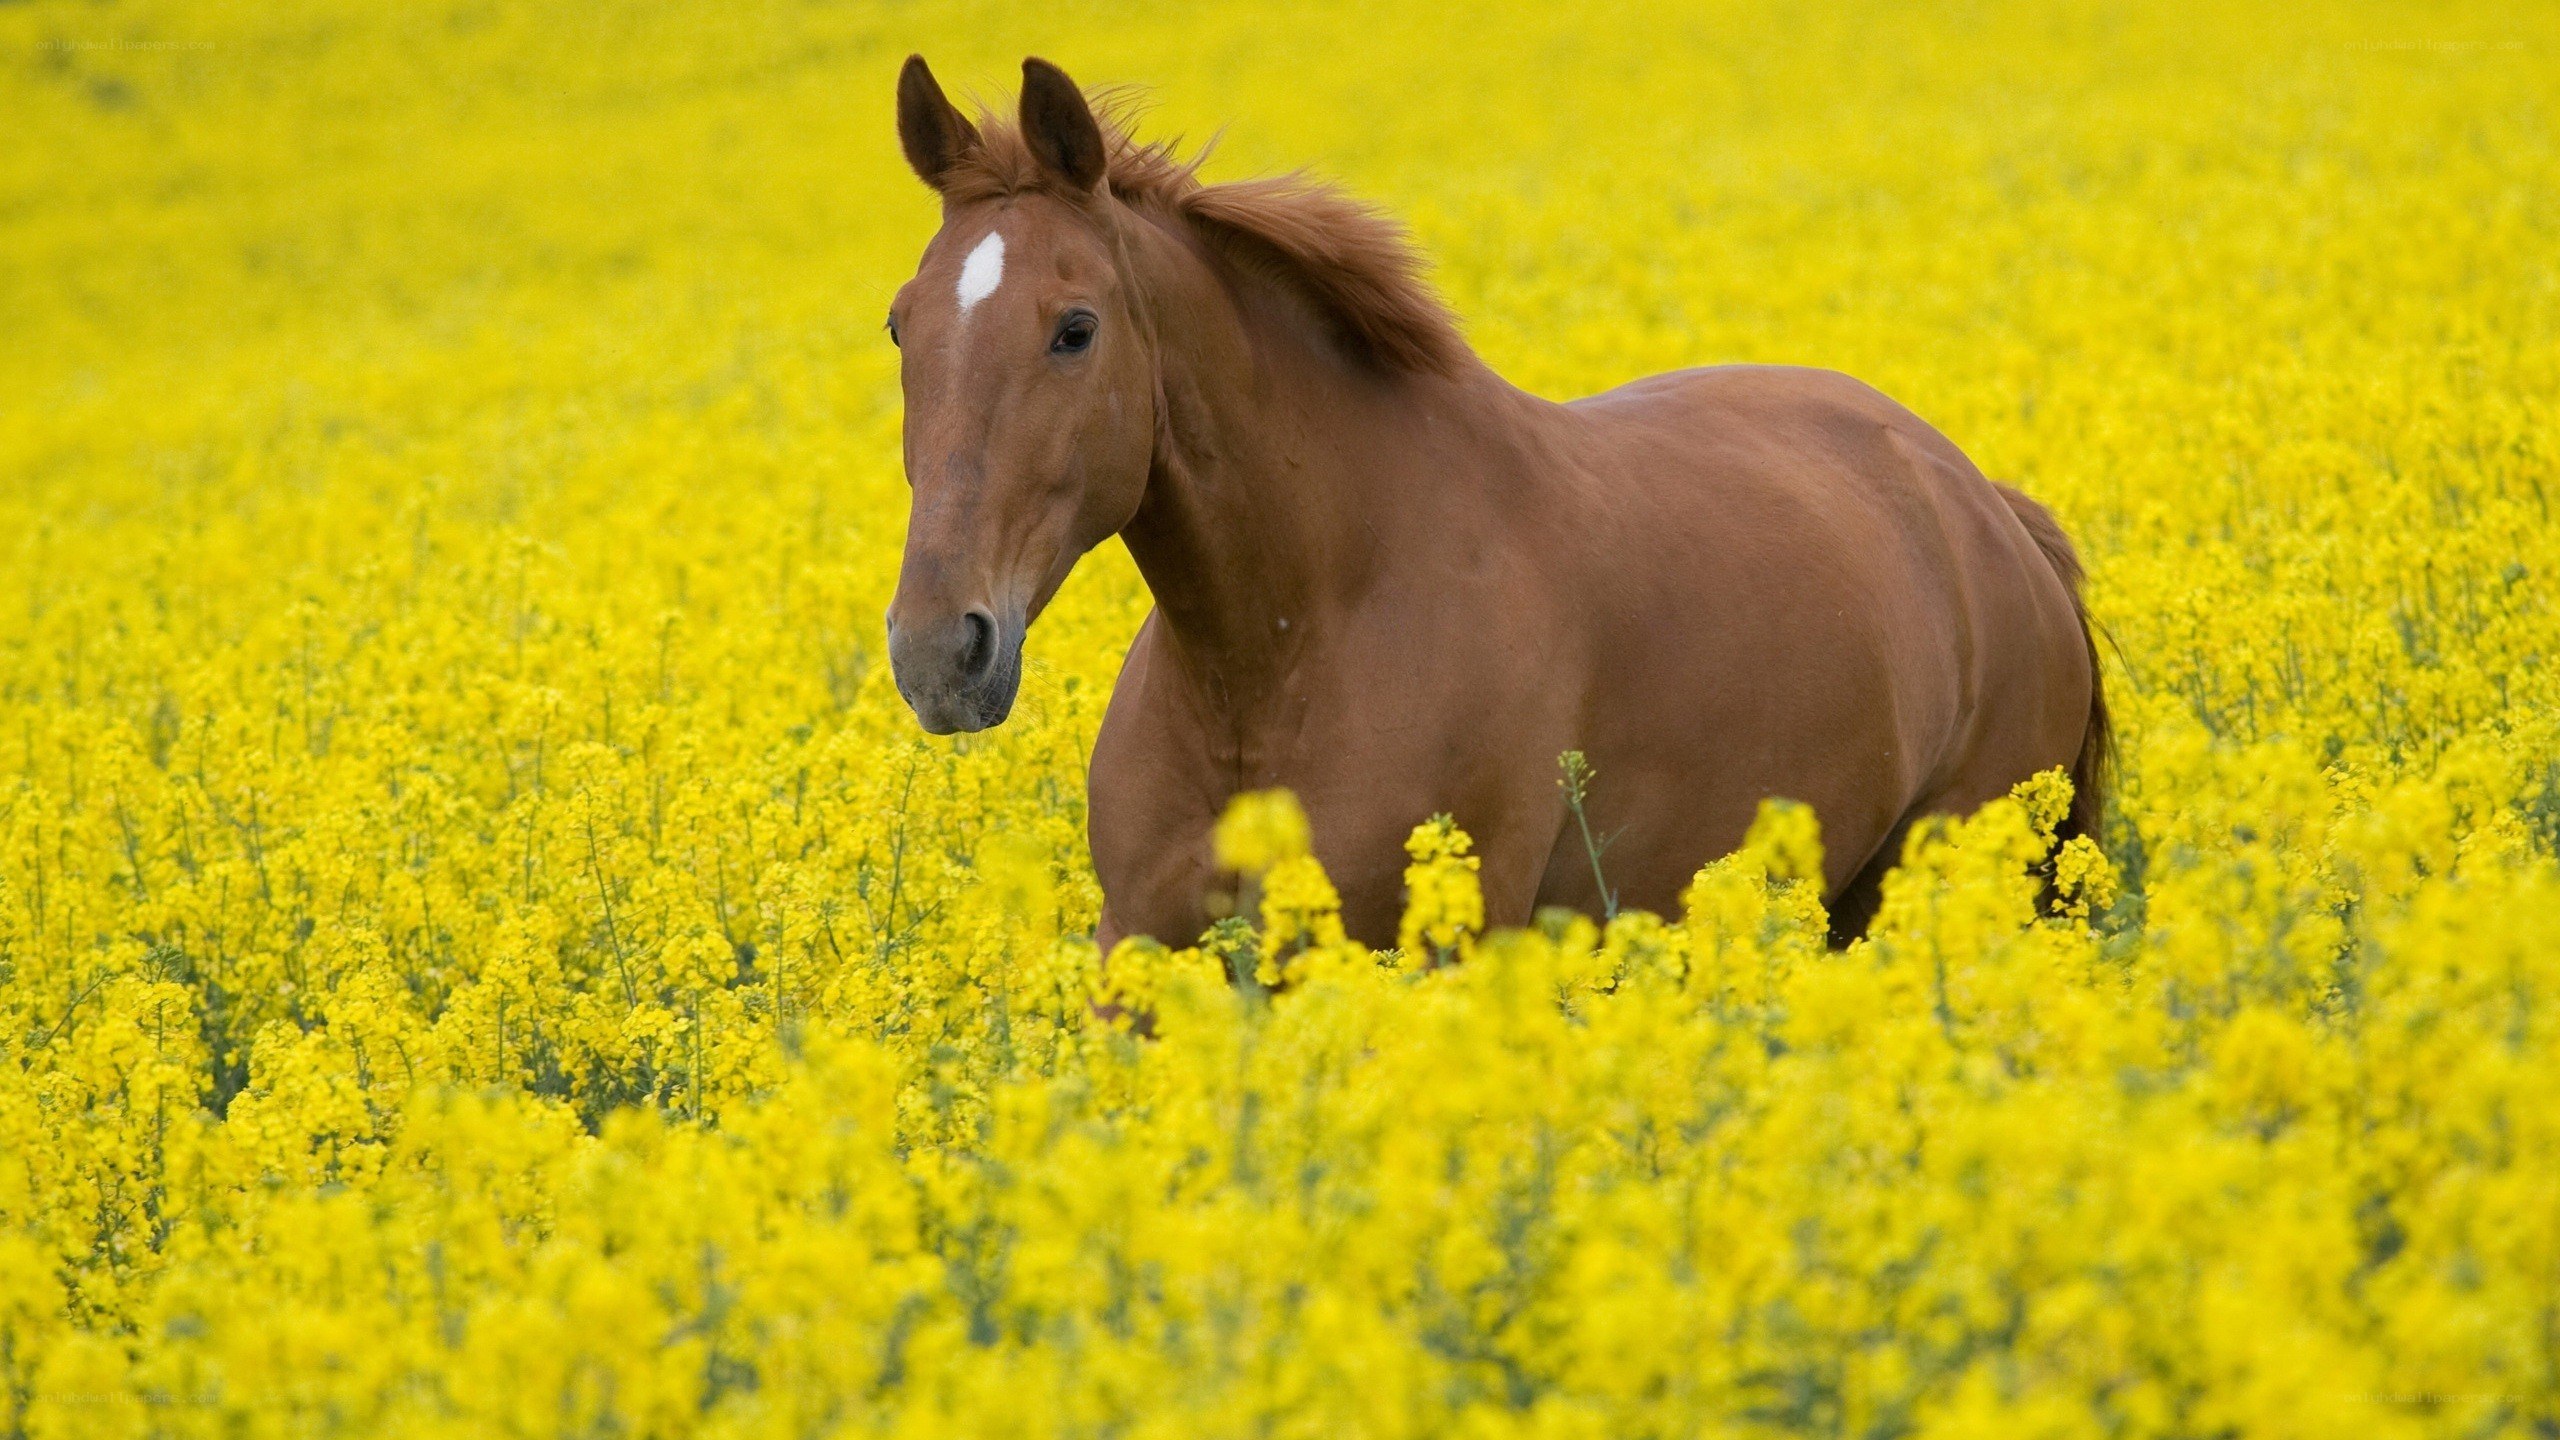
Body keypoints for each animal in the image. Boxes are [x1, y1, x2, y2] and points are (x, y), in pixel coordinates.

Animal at [882, 56, 2108, 952]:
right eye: (902, 324)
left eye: (1075, 328)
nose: (940, 652)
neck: (1283, 652)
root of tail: (1985, 509)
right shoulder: (1138, 953)